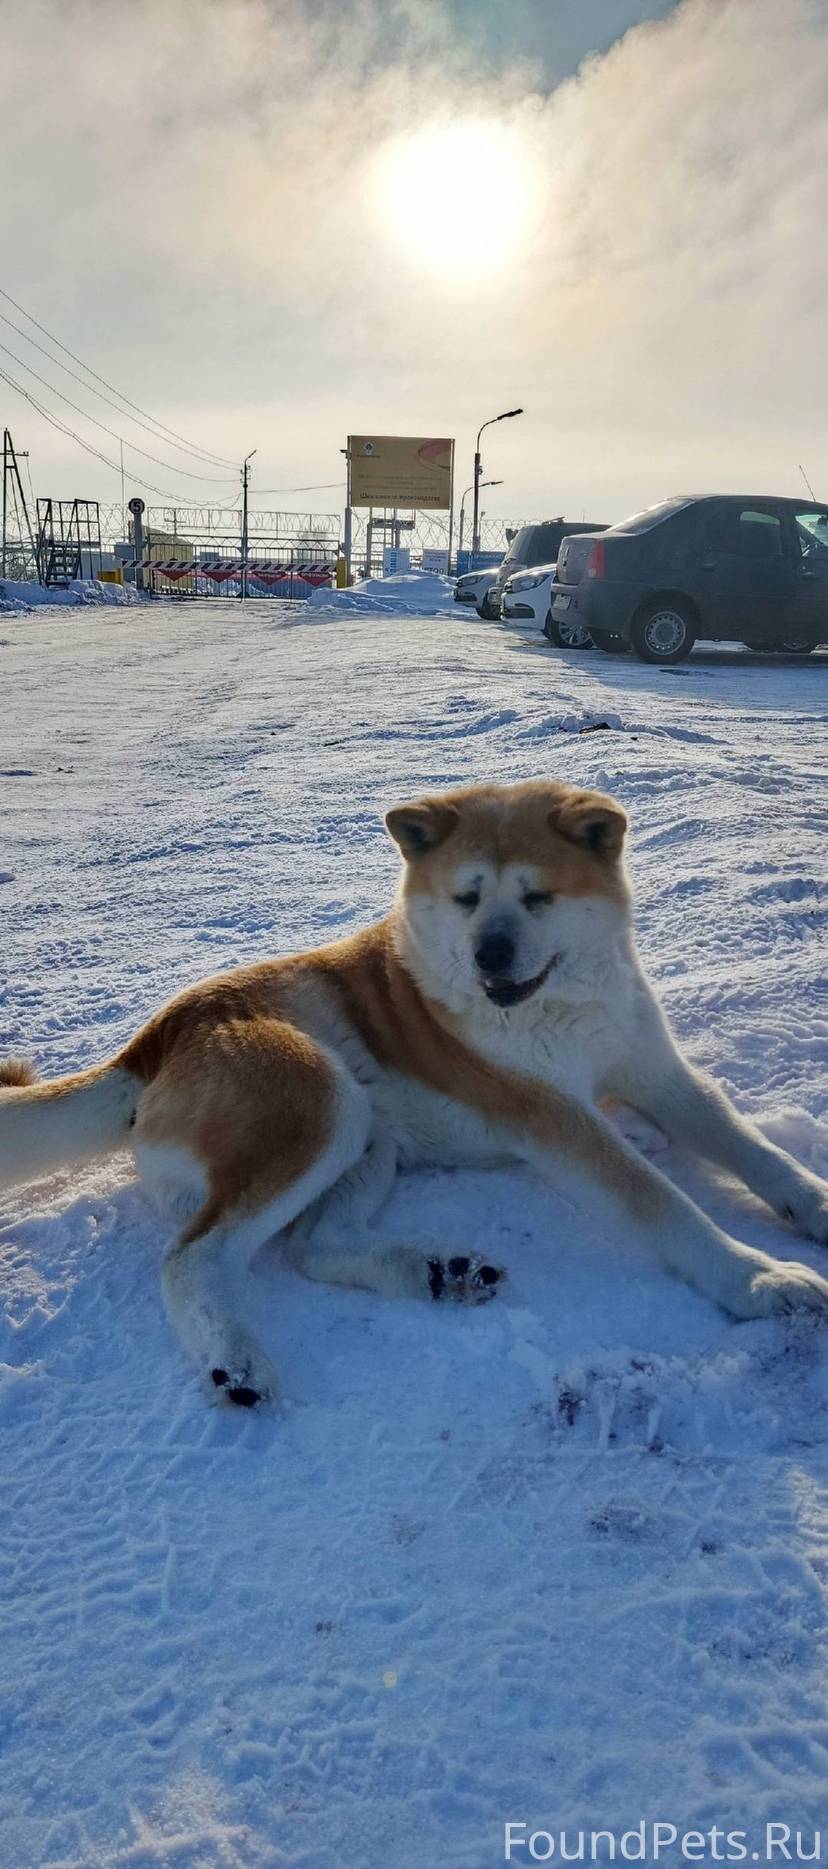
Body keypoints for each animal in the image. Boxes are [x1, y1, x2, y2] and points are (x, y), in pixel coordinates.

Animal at [2, 778, 828, 1407]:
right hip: (320, 1101)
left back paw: (435, 1274)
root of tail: (152, 1041)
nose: (489, 954)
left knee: (315, 1243)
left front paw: (812, 1205)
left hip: (369, 1139)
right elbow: (663, 1202)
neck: (564, 1001)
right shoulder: (558, 1118)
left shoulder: (659, 1073)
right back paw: (237, 1361)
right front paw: (758, 1278)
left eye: (537, 896)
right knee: (194, 1256)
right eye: (466, 898)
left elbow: (752, 1147)